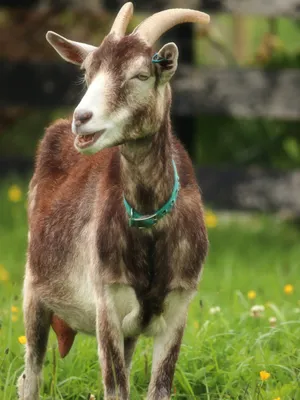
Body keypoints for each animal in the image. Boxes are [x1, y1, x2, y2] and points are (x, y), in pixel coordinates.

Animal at [18, 3, 210, 400]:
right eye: (87, 73)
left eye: (140, 75)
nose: (82, 119)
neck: (149, 223)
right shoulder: (107, 303)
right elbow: (116, 388)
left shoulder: (177, 310)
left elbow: (159, 389)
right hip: (34, 290)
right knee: (31, 374)